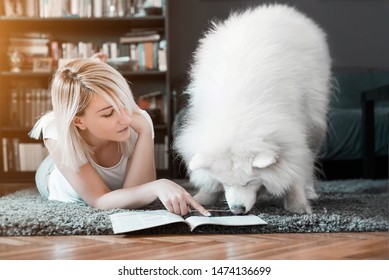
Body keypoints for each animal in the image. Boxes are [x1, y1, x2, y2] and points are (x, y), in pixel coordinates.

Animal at [173, 3, 330, 214]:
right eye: (226, 183)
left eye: (249, 182)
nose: (237, 209)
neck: (238, 114)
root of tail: (279, 9)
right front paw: (203, 197)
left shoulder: (291, 133)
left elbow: (293, 167)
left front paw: (298, 204)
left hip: (315, 123)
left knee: (309, 158)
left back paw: (310, 191)